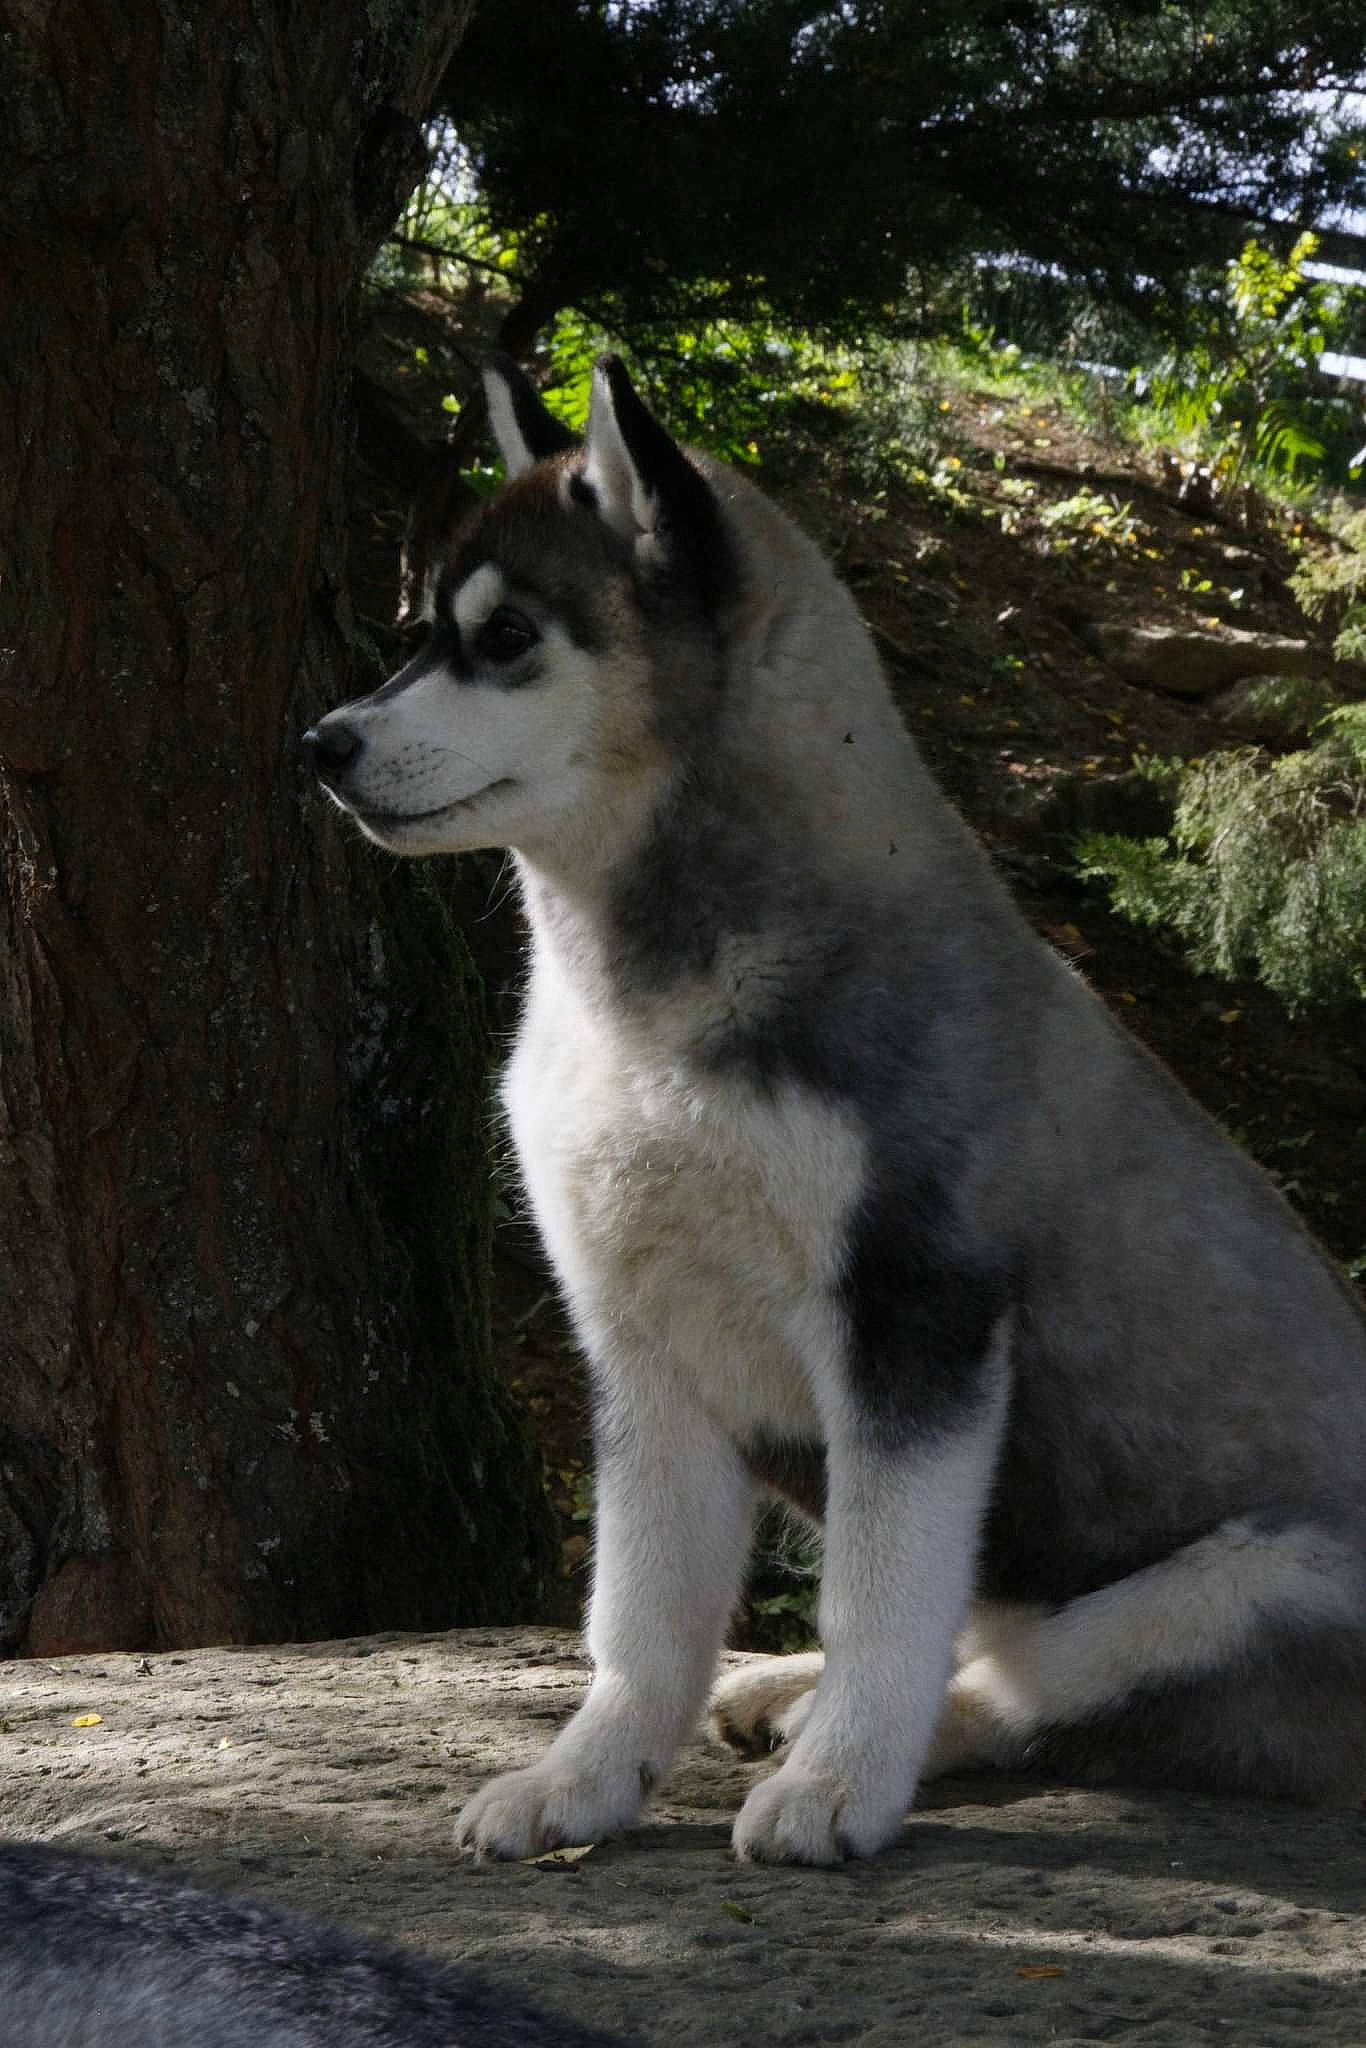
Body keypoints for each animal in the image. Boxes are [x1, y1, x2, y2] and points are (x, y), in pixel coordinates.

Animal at [305, 354, 1366, 1866]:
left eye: (504, 637)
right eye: (420, 634)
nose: (322, 744)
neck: (630, 1001)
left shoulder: (912, 1319)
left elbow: (882, 1593)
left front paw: (837, 1782)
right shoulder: (639, 1338)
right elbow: (640, 1614)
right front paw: (586, 1777)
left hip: (1250, 1582)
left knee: (1032, 1680)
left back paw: (837, 1729)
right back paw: (773, 1687)